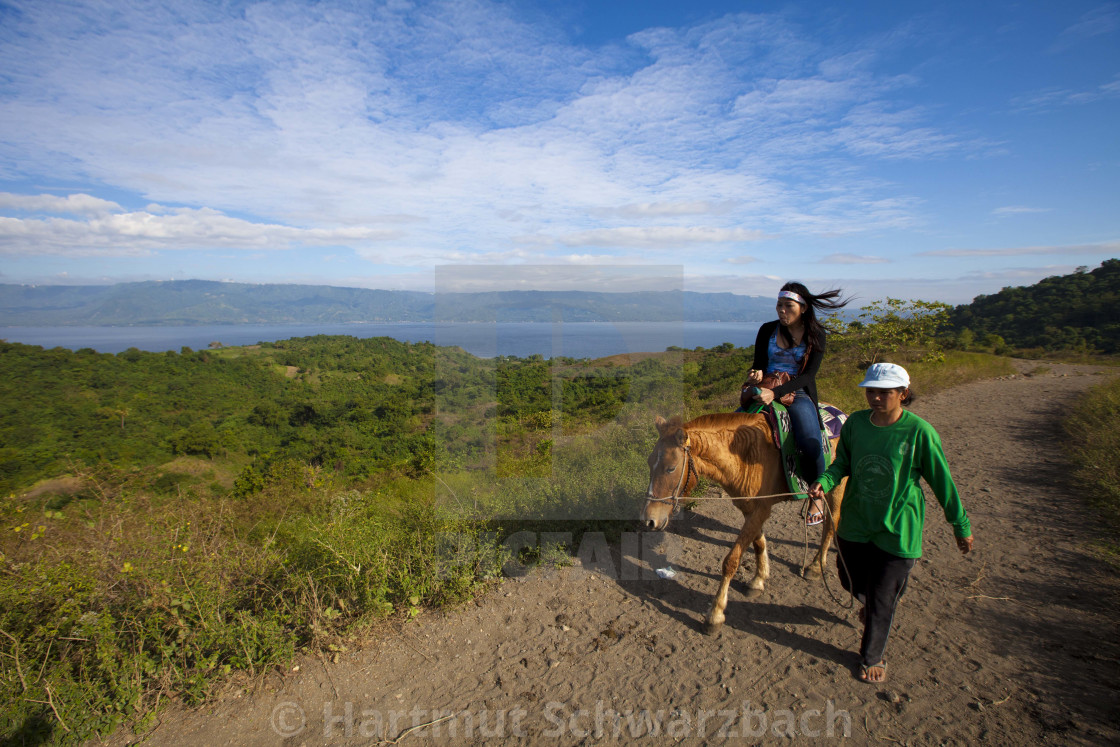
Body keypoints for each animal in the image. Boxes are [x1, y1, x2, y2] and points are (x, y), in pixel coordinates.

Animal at [645, 412, 842, 636]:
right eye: (650, 463)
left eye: (671, 468)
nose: (650, 519)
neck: (745, 455)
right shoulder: (751, 509)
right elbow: (758, 543)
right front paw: (758, 579)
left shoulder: (761, 510)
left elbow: (731, 561)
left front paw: (715, 615)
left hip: (835, 488)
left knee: (831, 523)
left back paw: (816, 566)